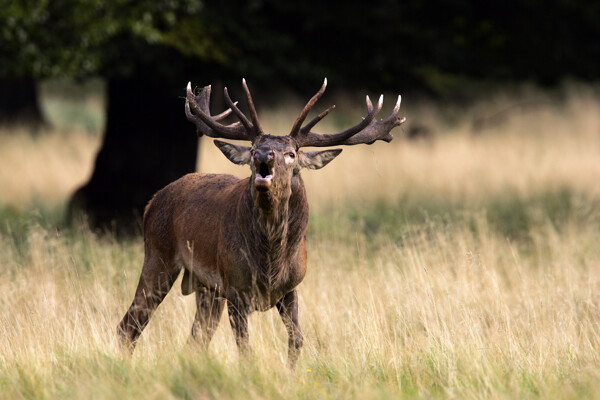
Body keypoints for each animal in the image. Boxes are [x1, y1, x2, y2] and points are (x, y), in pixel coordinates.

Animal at [116, 78, 408, 368]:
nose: (264, 157)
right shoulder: (235, 287)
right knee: (129, 325)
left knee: (195, 339)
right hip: (158, 257)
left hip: (206, 287)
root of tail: (152, 201)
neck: (270, 263)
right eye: (254, 149)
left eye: (291, 154)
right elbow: (245, 348)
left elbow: (296, 340)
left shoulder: (291, 287)